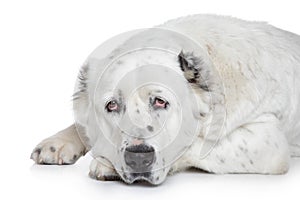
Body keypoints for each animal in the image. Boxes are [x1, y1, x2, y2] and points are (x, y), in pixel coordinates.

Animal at [29, 14, 300, 185]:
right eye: (111, 105)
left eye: (160, 102)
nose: (138, 157)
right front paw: (58, 143)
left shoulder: (267, 141)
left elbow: (193, 145)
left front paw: (106, 163)